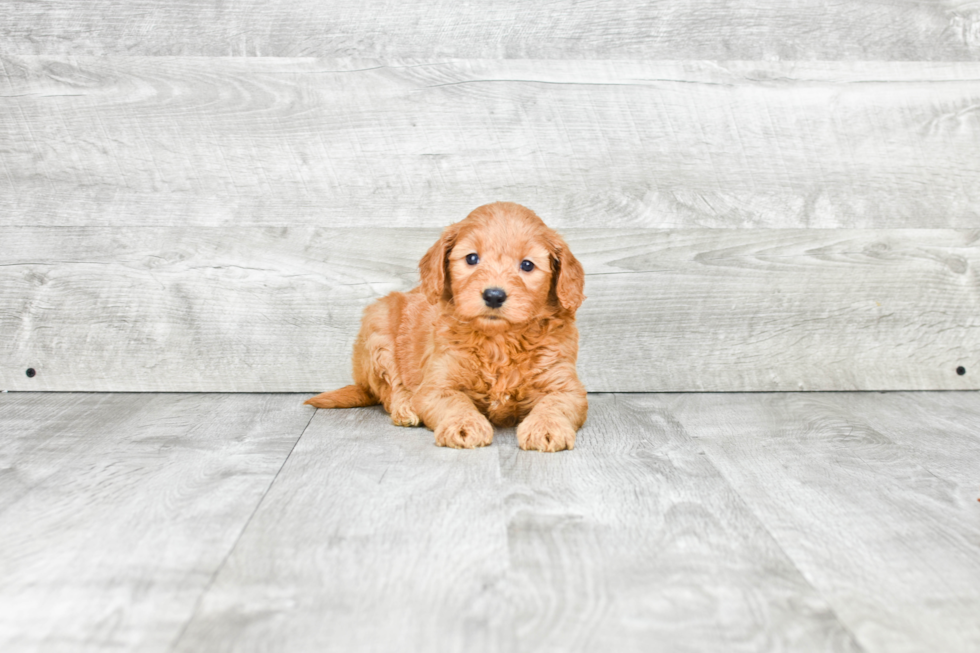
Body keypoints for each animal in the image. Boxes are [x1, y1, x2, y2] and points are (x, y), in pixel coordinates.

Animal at [306, 201, 584, 450]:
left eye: (527, 265)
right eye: (472, 258)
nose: (494, 295)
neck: (498, 341)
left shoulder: (566, 386)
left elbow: (554, 404)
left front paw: (546, 428)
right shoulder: (437, 384)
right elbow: (455, 402)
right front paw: (463, 425)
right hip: (378, 330)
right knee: (390, 389)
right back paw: (406, 408)